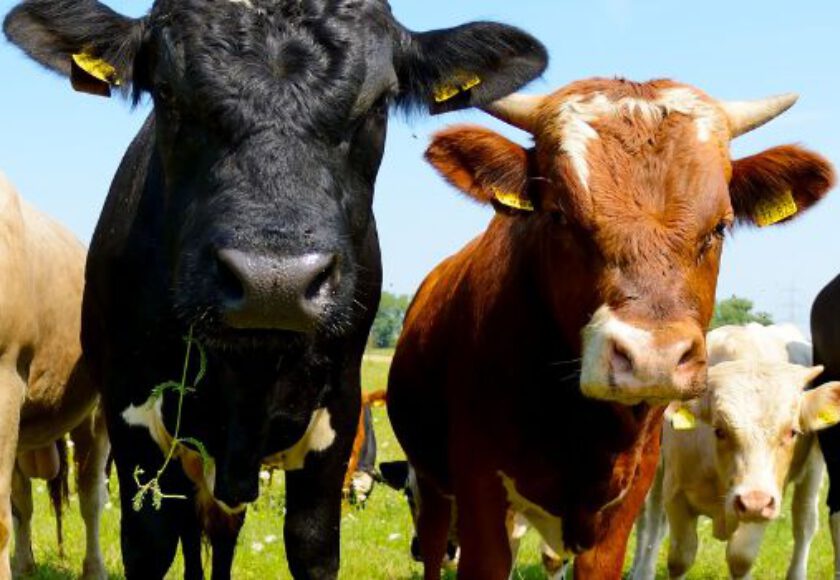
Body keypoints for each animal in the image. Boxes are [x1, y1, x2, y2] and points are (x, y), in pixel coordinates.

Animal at [632, 324, 837, 580]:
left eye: (792, 432)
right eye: (719, 430)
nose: (754, 501)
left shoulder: (765, 498)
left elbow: (741, 558)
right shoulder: (676, 492)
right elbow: (679, 557)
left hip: (813, 469)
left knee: (804, 522)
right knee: (650, 521)